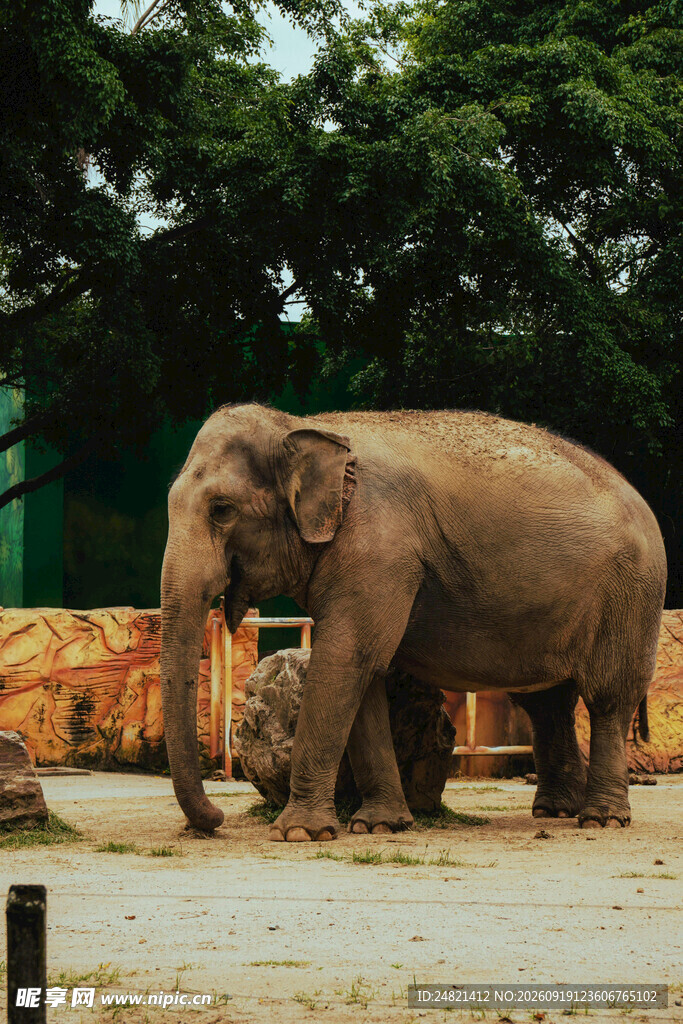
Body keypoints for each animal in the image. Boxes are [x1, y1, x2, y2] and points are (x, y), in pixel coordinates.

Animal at [160, 404, 666, 840]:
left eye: (222, 510)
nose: (216, 818)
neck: (304, 426)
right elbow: (363, 674)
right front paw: (380, 826)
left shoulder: (380, 549)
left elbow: (346, 660)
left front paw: (299, 833)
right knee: (547, 703)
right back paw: (555, 811)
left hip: (631, 596)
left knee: (608, 699)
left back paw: (601, 819)